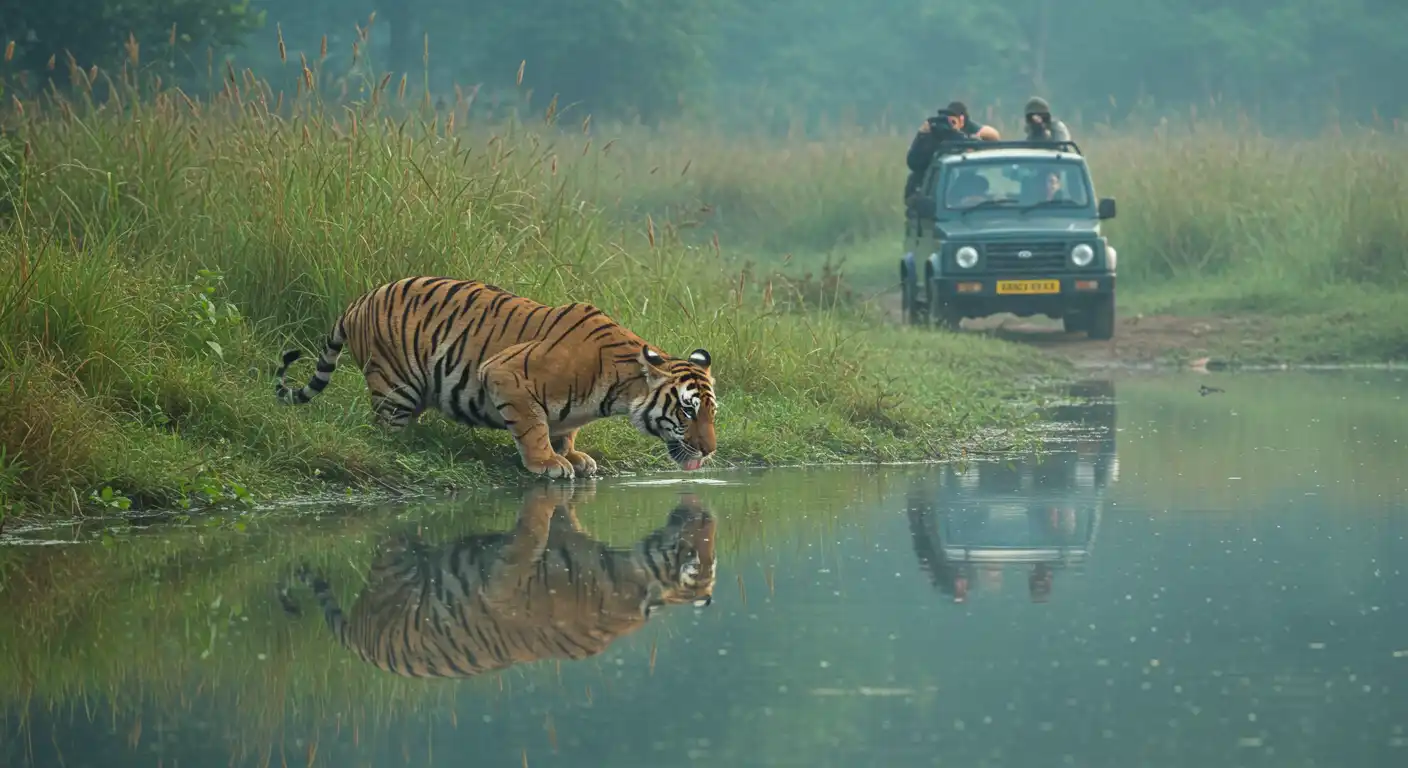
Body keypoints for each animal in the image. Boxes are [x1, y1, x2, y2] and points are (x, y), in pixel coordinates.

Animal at [273, 276, 717, 478]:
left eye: (712, 414)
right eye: (687, 411)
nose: (711, 450)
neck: (620, 389)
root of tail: (358, 301)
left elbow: (565, 429)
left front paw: (573, 454)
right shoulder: (506, 373)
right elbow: (534, 427)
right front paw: (548, 463)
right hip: (395, 384)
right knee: (383, 431)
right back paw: (408, 450)